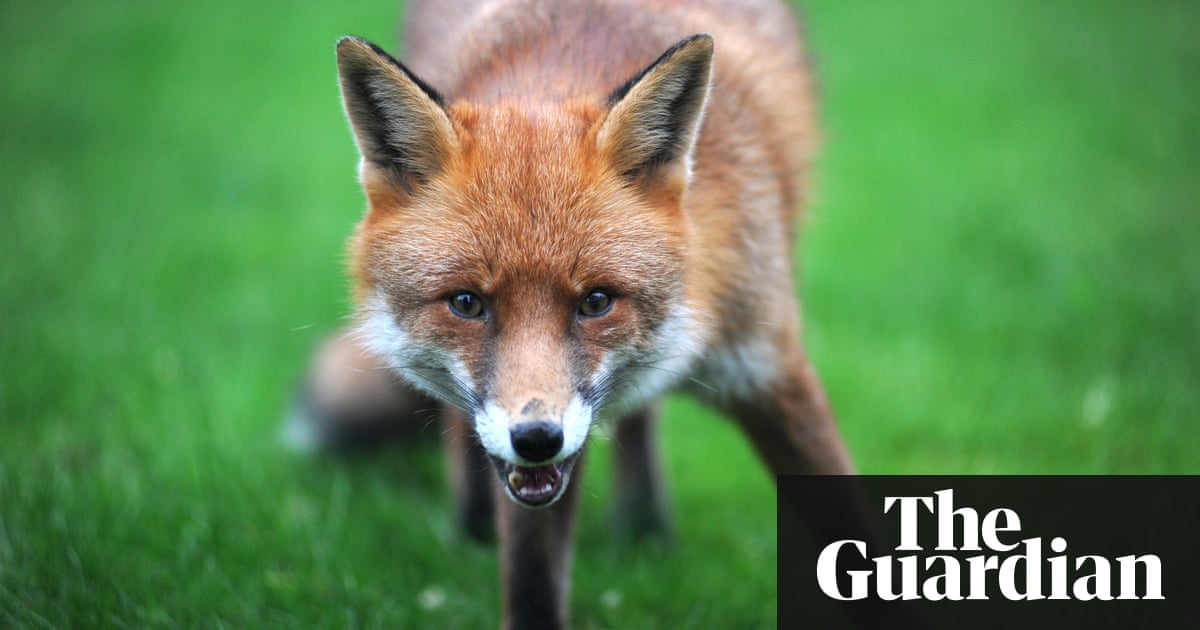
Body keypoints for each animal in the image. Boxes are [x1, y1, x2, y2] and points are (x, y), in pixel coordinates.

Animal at [298, 0, 870, 627]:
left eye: (595, 302)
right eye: (467, 303)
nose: (536, 438)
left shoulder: (767, 362)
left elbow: (851, 524)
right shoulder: (524, 475)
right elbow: (531, 581)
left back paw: (644, 528)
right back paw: (475, 527)